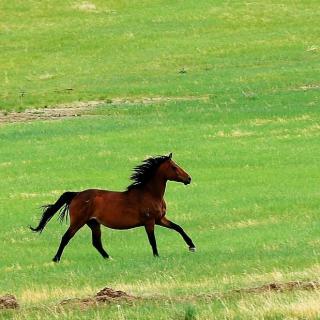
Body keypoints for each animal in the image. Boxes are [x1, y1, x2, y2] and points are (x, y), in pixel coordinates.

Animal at [29, 153, 195, 262]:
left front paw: (192, 246)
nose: (188, 178)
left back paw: (109, 258)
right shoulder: (149, 222)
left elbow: (178, 228)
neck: (149, 193)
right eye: (174, 167)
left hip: (93, 223)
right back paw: (56, 259)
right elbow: (152, 239)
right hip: (78, 222)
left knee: (96, 242)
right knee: (66, 237)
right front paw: (156, 256)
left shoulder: (160, 219)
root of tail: (76, 195)